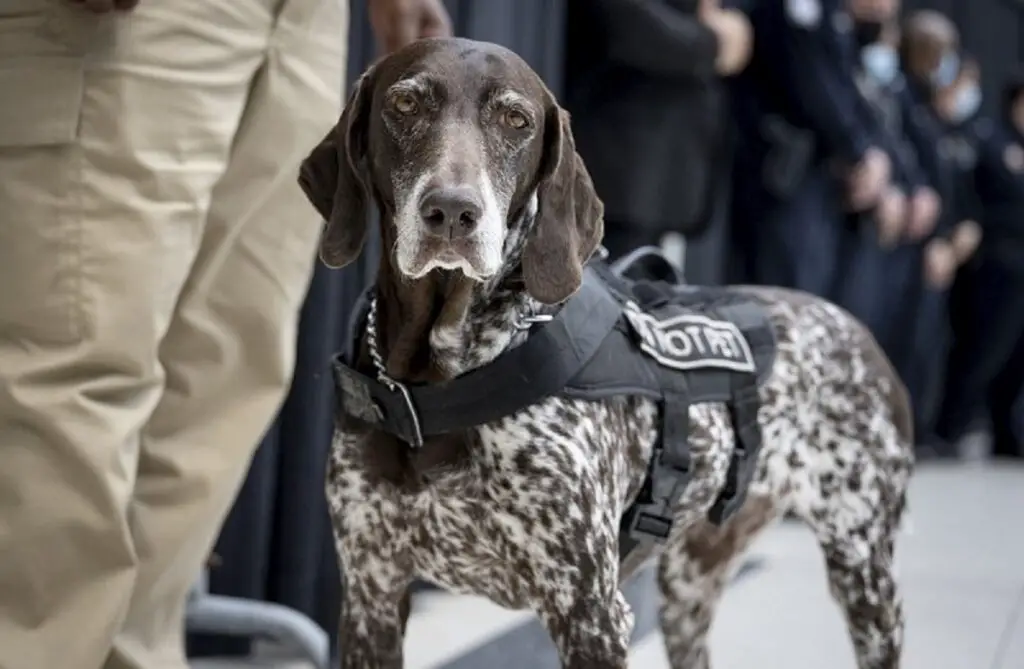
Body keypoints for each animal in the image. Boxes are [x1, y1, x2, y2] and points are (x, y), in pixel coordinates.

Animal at [296, 37, 913, 667]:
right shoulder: (371, 596)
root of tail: (855, 327)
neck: (438, 381)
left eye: (516, 121)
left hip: (864, 574)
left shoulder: (589, 612)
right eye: (405, 104)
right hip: (689, 586)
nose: (452, 212)